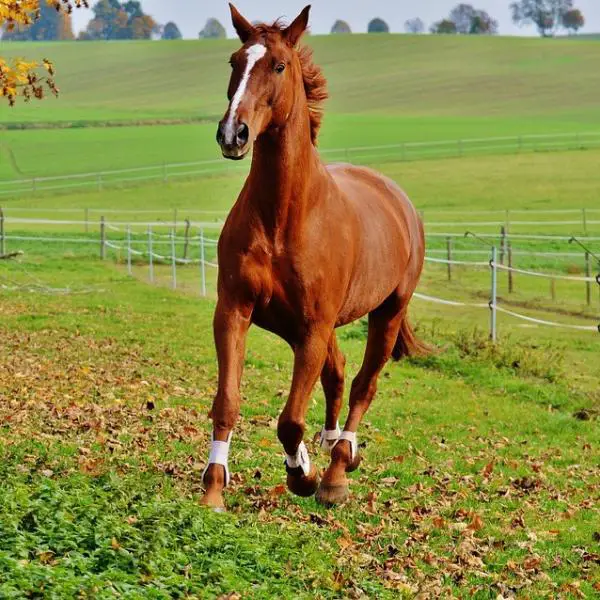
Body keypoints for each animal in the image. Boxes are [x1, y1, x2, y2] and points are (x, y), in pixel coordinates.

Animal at [202, 4, 426, 510]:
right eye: (234, 61)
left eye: (279, 66)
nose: (233, 134)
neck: (283, 218)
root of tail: (400, 201)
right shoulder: (236, 311)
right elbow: (228, 401)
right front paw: (213, 489)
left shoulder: (313, 328)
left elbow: (289, 420)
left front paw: (302, 475)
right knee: (338, 375)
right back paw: (330, 446)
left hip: (385, 314)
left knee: (363, 384)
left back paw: (338, 469)